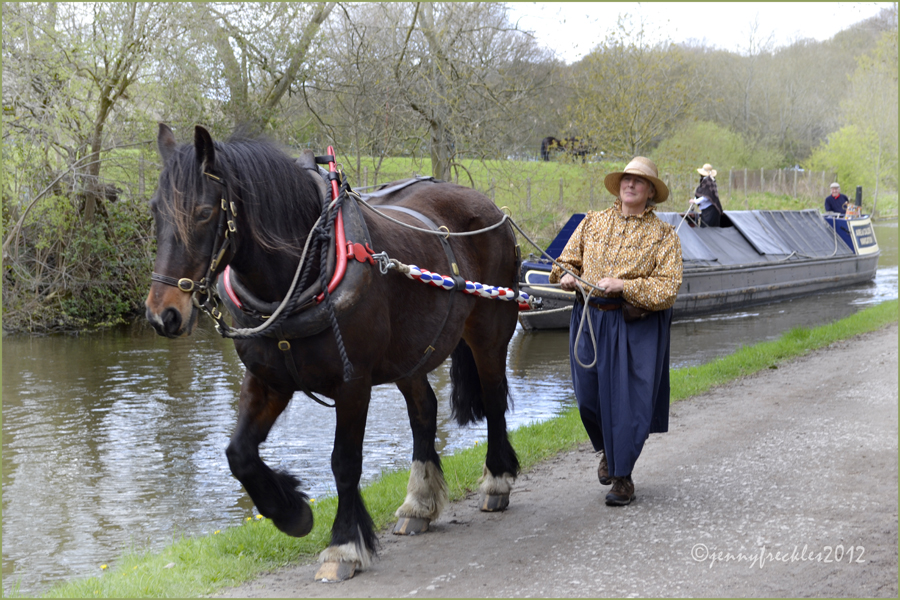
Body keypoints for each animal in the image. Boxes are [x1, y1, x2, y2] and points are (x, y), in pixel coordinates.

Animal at [144, 124, 522, 581]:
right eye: (155, 210)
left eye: (201, 212)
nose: (163, 315)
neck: (297, 276)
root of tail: (488, 205)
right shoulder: (268, 379)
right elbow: (239, 454)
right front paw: (291, 511)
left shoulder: (352, 383)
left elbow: (345, 462)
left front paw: (343, 544)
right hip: (409, 354)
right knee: (424, 412)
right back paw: (418, 503)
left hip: (489, 333)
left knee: (494, 398)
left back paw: (497, 480)